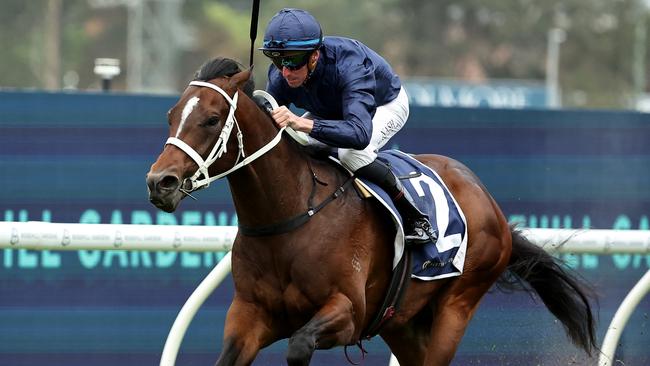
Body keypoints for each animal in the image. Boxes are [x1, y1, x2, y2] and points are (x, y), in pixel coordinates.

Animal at [146, 58, 592, 364]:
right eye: (171, 115)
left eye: (211, 119)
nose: (159, 182)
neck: (291, 216)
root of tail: (491, 204)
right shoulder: (250, 315)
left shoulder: (347, 312)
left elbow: (299, 345)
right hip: (405, 323)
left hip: (457, 306)